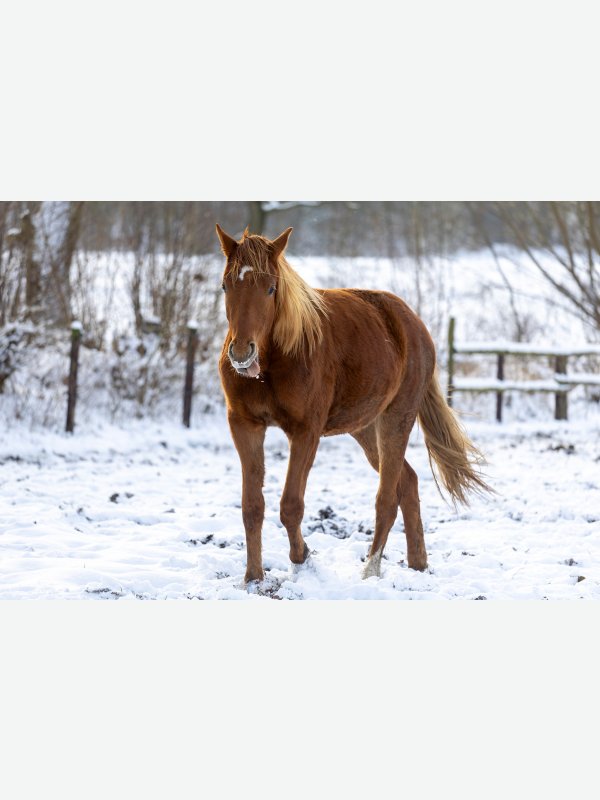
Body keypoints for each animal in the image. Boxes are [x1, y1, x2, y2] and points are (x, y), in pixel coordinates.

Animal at [216, 223, 491, 584]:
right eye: (225, 285)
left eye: (271, 289)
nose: (241, 353)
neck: (275, 362)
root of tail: (415, 325)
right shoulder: (244, 426)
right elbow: (252, 506)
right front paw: (253, 577)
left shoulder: (306, 432)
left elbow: (291, 505)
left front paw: (302, 557)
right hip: (365, 428)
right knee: (407, 482)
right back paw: (418, 563)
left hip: (396, 420)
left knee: (387, 497)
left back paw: (371, 568)